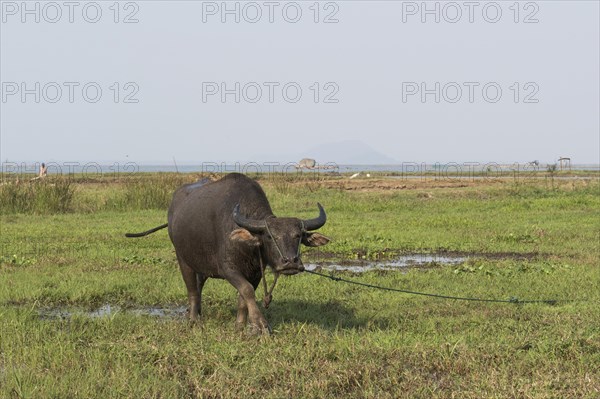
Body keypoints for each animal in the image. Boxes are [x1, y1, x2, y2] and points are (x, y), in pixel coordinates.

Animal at [123, 173, 328, 332]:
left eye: (299, 235)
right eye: (270, 237)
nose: (291, 262)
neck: (248, 246)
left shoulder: (254, 273)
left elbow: (243, 297)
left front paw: (240, 325)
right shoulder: (228, 269)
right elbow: (246, 290)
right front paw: (260, 324)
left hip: (201, 265)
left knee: (198, 286)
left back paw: (195, 313)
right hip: (183, 259)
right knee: (192, 290)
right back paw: (193, 320)